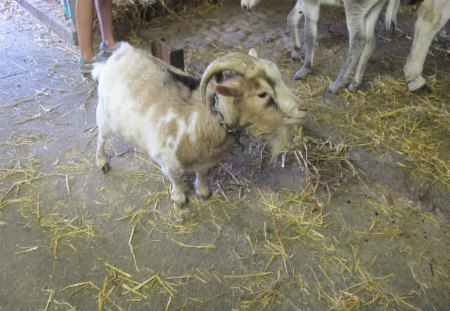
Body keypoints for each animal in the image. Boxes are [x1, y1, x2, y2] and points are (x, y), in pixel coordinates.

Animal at [93, 42, 308, 207]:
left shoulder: (207, 160)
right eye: (262, 94)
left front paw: (203, 192)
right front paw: (180, 199)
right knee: (101, 138)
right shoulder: (169, 161)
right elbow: (177, 179)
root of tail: (119, 53)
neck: (202, 119)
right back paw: (102, 162)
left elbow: (203, 173)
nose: (303, 109)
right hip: (102, 113)